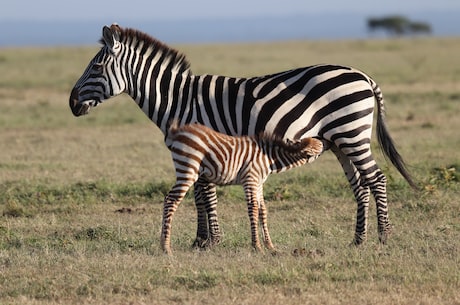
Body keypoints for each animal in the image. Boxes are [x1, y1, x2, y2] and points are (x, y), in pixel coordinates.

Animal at [163, 121, 324, 254]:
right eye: (319, 146)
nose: (323, 140)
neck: (269, 157)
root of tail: (179, 131)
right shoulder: (250, 179)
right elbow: (253, 209)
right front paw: (257, 247)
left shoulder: (258, 183)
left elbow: (262, 209)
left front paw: (270, 246)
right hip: (187, 169)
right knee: (171, 200)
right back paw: (166, 248)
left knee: (169, 199)